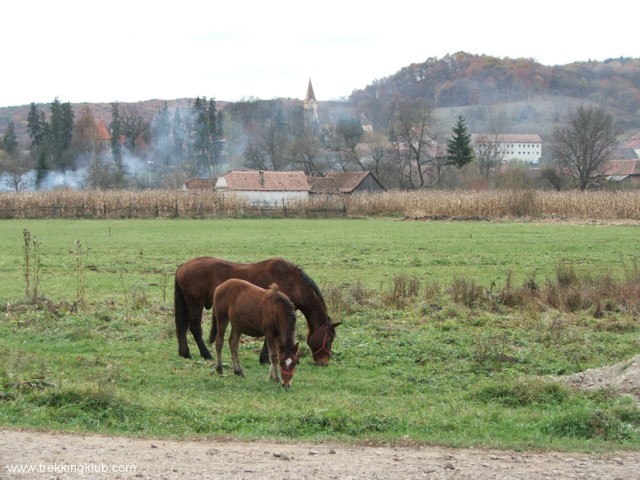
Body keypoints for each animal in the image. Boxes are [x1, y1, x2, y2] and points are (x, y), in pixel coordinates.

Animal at [172, 256, 338, 366]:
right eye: (329, 339)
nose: (324, 362)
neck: (294, 284)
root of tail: (183, 266)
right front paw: (266, 358)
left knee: (181, 327)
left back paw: (185, 352)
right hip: (195, 304)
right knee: (194, 328)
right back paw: (206, 354)